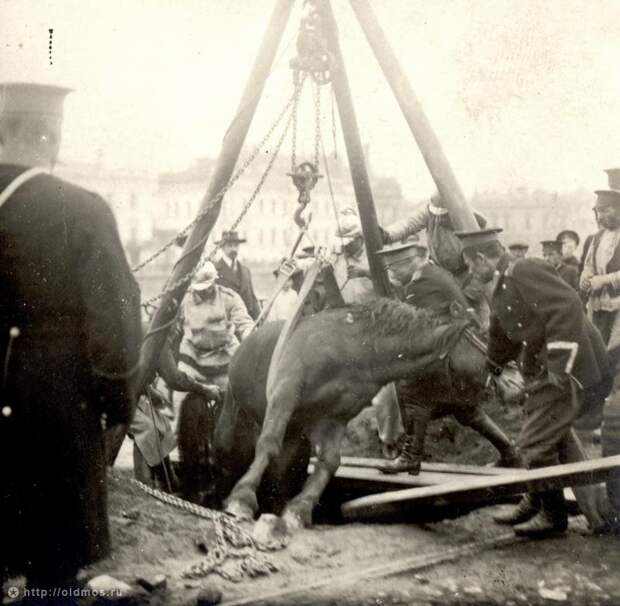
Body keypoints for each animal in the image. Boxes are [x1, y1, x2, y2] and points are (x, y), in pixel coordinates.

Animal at [213, 300, 520, 532]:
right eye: (485, 336)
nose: (514, 382)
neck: (350, 350)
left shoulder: (334, 417)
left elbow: (329, 462)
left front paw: (298, 510)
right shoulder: (285, 392)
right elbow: (268, 443)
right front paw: (242, 498)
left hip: (296, 432)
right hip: (234, 417)